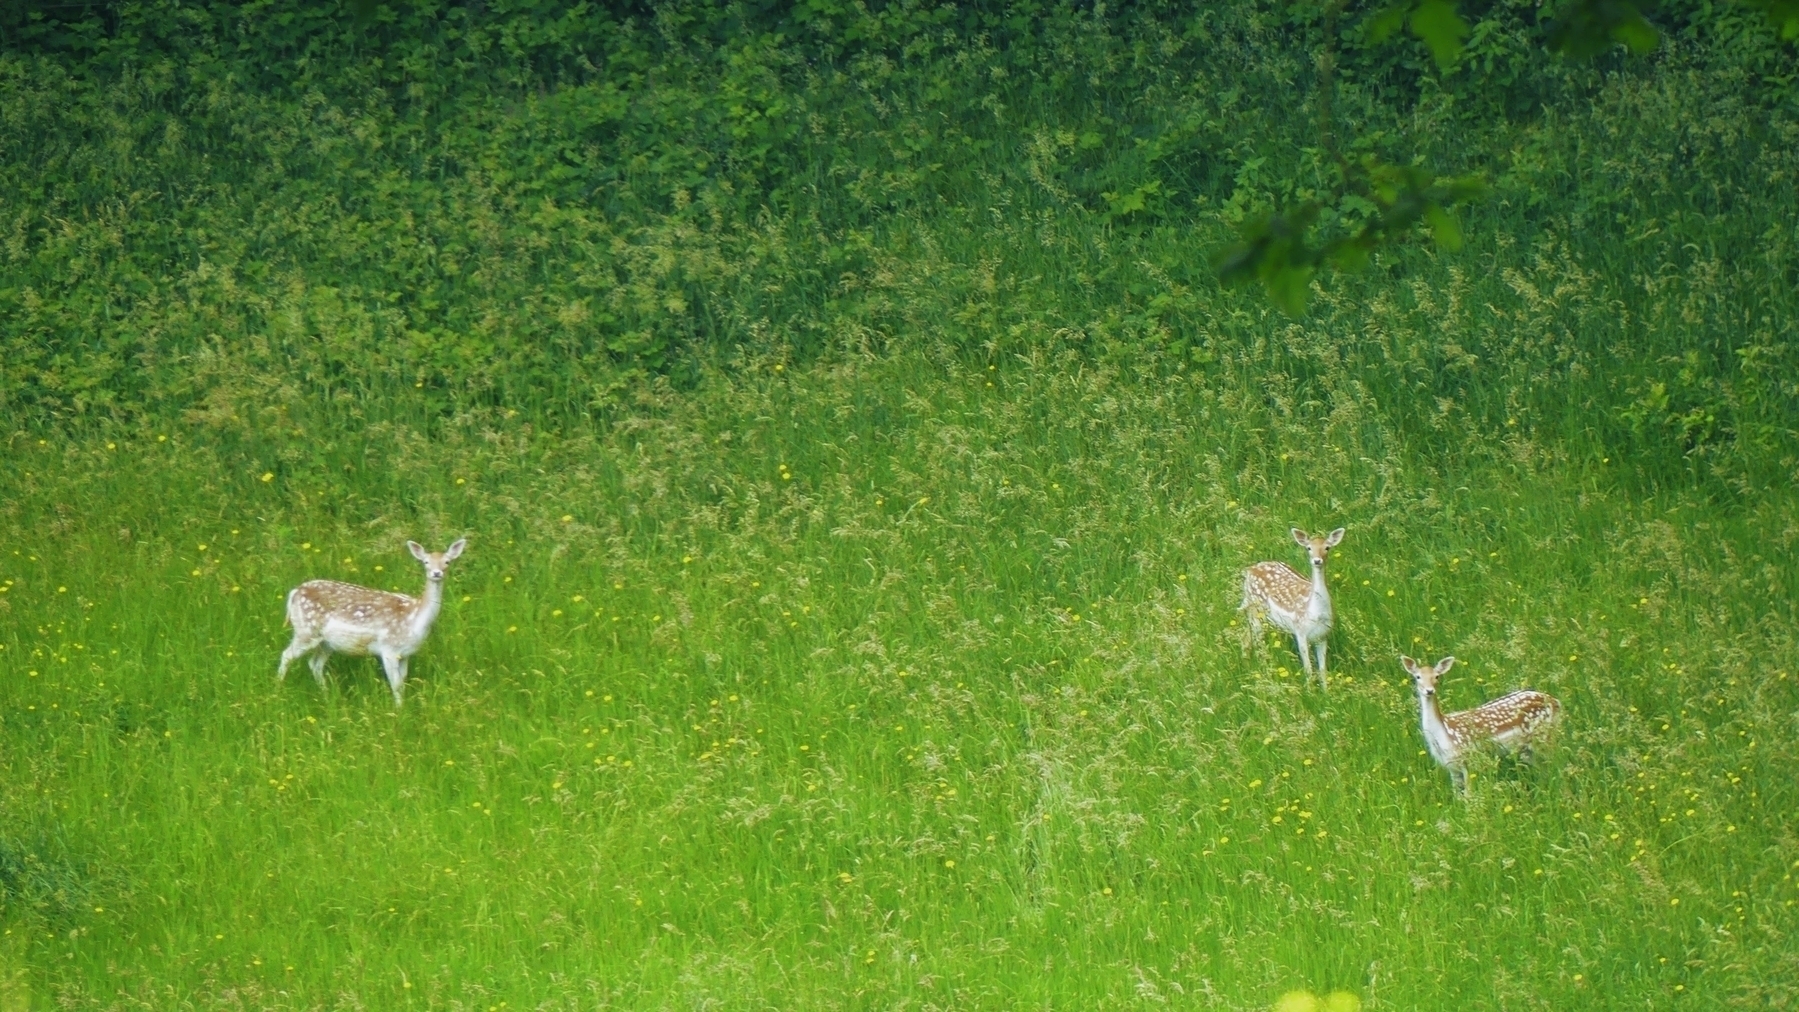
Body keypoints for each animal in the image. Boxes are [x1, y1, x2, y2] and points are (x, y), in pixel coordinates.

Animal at [277, 542, 467, 708]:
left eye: (447, 562)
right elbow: (396, 684)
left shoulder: (406, 653)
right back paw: (278, 688)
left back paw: (326, 694)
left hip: (327, 642)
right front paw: (399, 711)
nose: (436, 573)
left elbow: (402, 681)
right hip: (306, 630)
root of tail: (295, 592)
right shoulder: (389, 650)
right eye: (426, 562)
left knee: (315, 663)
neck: (414, 619)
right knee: (287, 655)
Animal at [1244, 532, 1345, 690]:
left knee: (1246, 637)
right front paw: (1311, 692)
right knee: (1255, 641)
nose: (1317, 560)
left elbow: (1323, 669)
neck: (1316, 613)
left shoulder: (1323, 635)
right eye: (1309, 548)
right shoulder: (1300, 631)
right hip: (1255, 610)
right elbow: (1308, 669)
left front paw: (1326, 692)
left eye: (1327, 547)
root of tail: (1249, 570)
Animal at [1403, 654, 1561, 794]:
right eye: (1417, 677)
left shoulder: (1469, 759)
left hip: (1546, 735)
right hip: (1527, 748)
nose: (1429, 690)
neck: (1444, 735)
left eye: (1437, 676)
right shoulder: (1451, 767)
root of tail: (1556, 702)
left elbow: (1469, 795)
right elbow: (1457, 797)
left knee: (1555, 761)